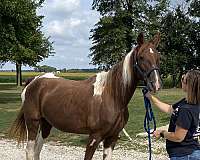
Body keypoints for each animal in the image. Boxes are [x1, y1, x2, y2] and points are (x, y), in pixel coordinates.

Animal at [10, 31, 162, 159]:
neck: (112, 96)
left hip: (46, 124)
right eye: (141, 57)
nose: (156, 84)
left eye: (158, 57)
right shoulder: (94, 137)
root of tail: (33, 81)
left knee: (37, 150)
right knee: (30, 151)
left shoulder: (112, 138)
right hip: (33, 123)